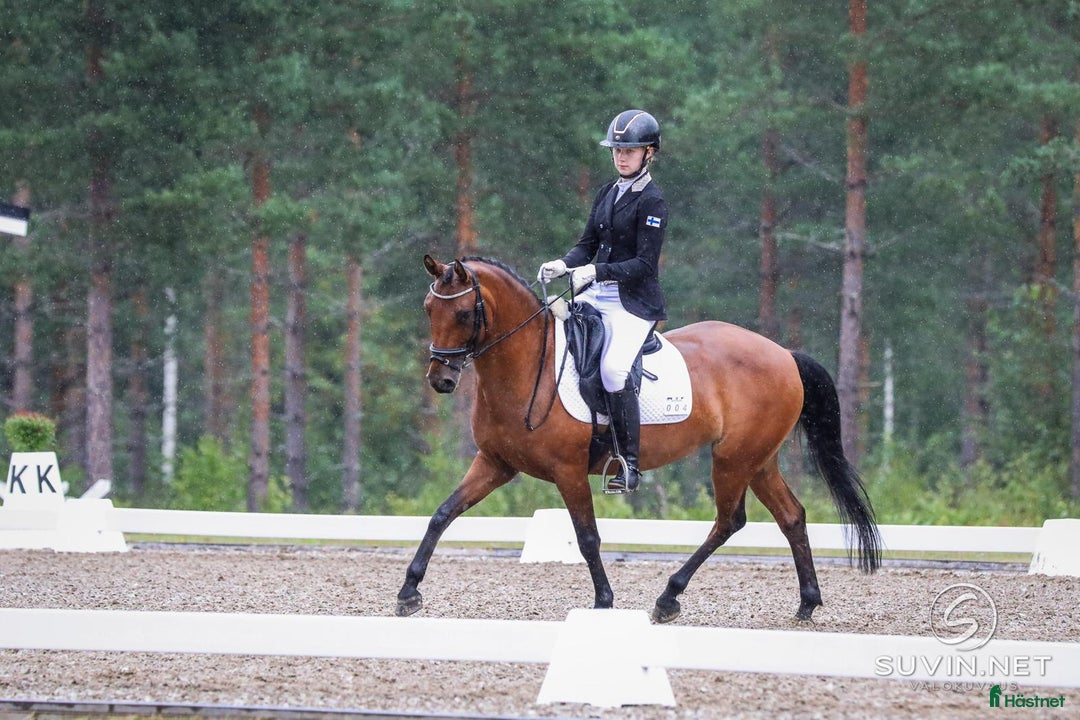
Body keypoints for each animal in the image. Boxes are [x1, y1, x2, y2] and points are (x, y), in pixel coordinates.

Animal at [397, 255, 881, 624]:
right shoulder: (495, 463)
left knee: (730, 521)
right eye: (428, 309)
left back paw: (669, 597)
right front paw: (409, 591)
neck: (528, 363)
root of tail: (783, 353)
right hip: (759, 459)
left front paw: (603, 602)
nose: (441, 380)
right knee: (791, 516)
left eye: (463, 314)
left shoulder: (568, 470)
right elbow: (442, 514)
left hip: (733, 459)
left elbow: (588, 537)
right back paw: (807, 604)